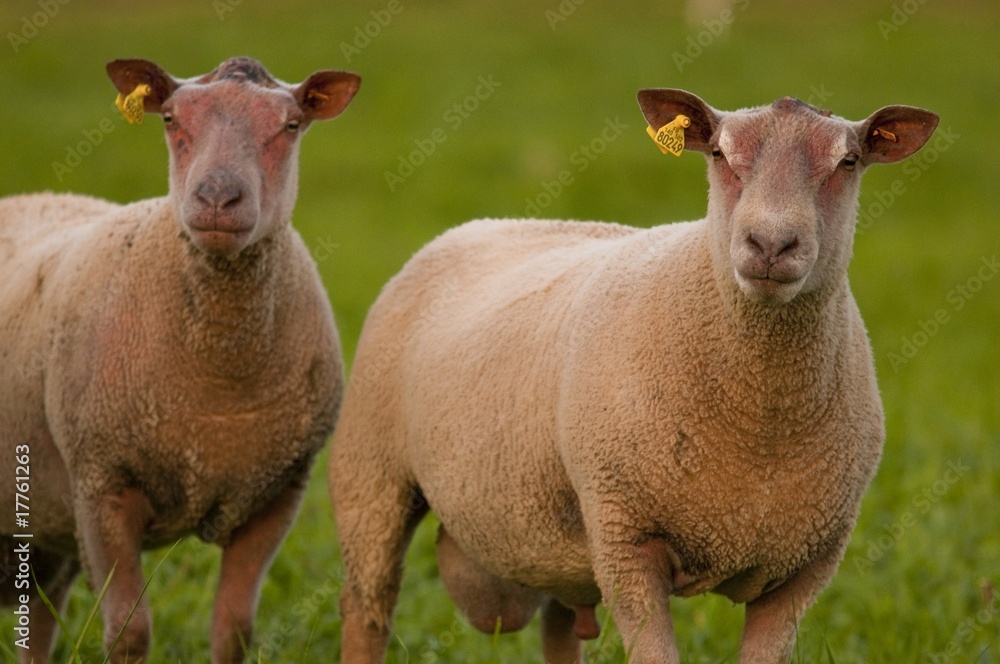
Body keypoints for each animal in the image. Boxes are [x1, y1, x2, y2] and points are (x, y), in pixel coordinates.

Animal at [0, 57, 359, 663]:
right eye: (169, 118)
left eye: (291, 125)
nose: (217, 197)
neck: (219, 381)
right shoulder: (101, 482)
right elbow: (128, 631)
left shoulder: (276, 495)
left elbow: (234, 628)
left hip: (43, 526)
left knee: (39, 619)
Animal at [329, 89, 938, 663]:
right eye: (719, 154)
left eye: (849, 161)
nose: (770, 244)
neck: (759, 426)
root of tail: (480, 224)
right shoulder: (625, 538)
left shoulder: (806, 566)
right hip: (371, 477)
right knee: (366, 612)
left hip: (555, 546)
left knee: (558, 629)